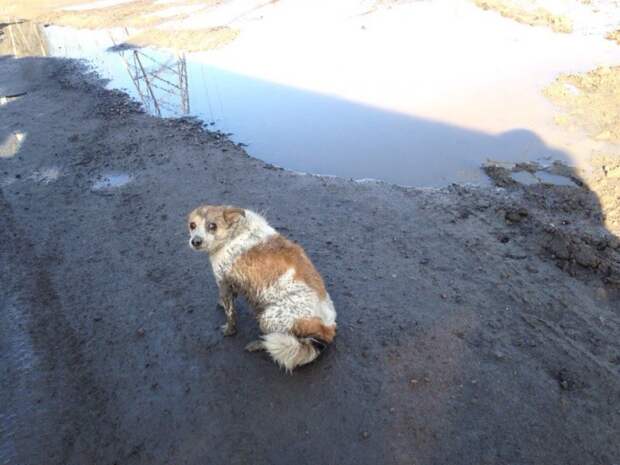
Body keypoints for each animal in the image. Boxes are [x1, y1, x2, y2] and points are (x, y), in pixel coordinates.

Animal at [186, 205, 336, 372]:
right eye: (192, 225)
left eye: (212, 226)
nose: (195, 241)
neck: (234, 233)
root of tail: (327, 329)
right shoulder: (231, 281)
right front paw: (221, 304)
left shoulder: (223, 281)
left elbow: (230, 314)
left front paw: (229, 330)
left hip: (267, 318)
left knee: (272, 338)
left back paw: (258, 344)